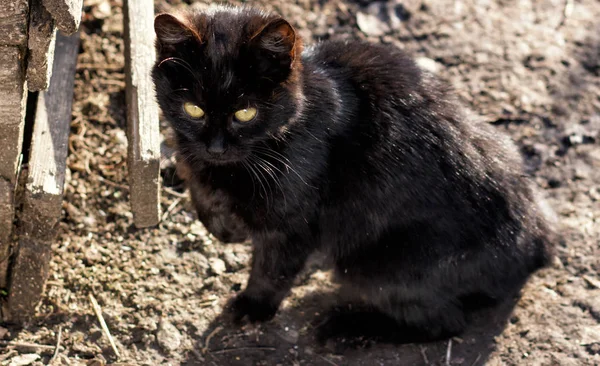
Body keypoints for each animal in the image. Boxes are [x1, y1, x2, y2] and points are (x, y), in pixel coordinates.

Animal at [150, 5, 552, 344]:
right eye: (194, 109)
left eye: (245, 113)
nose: (216, 147)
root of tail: (538, 245)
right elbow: (200, 187)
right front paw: (222, 225)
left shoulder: (294, 223)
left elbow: (272, 269)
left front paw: (253, 306)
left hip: (375, 266)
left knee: (444, 324)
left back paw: (345, 328)